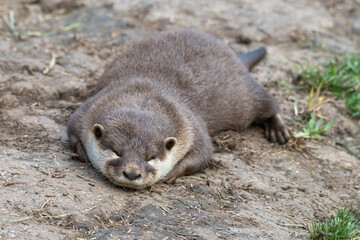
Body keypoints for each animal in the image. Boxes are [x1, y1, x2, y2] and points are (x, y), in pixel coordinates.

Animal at [67, 30, 292, 188]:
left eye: (151, 157)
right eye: (116, 151)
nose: (132, 173)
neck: (142, 94)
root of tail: (235, 57)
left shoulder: (190, 125)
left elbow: (203, 154)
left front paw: (172, 173)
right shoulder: (85, 113)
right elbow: (72, 135)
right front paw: (85, 154)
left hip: (247, 96)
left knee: (270, 104)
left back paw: (279, 130)